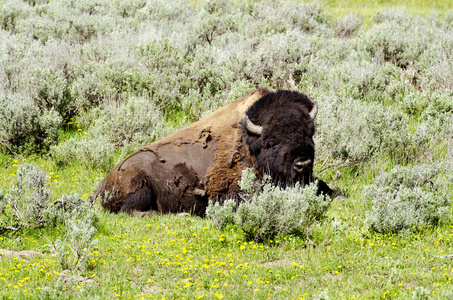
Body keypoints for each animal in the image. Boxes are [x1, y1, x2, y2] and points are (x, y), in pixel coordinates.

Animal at [94, 87, 342, 216]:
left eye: (310, 132)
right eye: (271, 142)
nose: (302, 165)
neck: (250, 144)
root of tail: (101, 185)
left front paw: (339, 195)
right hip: (139, 185)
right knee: (133, 211)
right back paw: (181, 214)